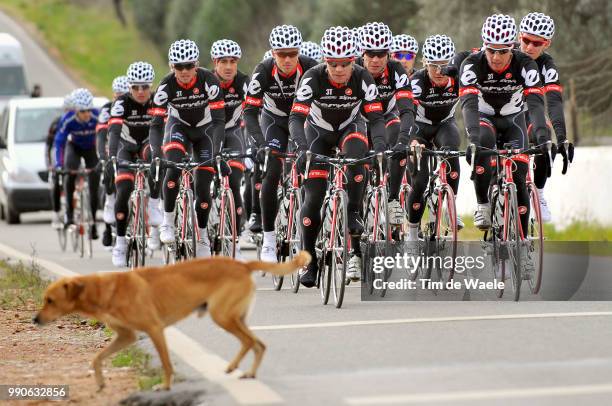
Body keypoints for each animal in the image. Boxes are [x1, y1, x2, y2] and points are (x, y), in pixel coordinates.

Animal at [33, 251, 310, 390]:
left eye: (50, 300)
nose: (34, 320)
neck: (102, 290)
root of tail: (243, 264)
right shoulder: (126, 336)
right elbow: (97, 357)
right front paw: (100, 382)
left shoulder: (154, 329)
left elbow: (166, 363)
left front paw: (165, 386)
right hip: (234, 317)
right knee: (257, 343)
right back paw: (245, 371)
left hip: (222, 316)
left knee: (251, 342)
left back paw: (239, 369)